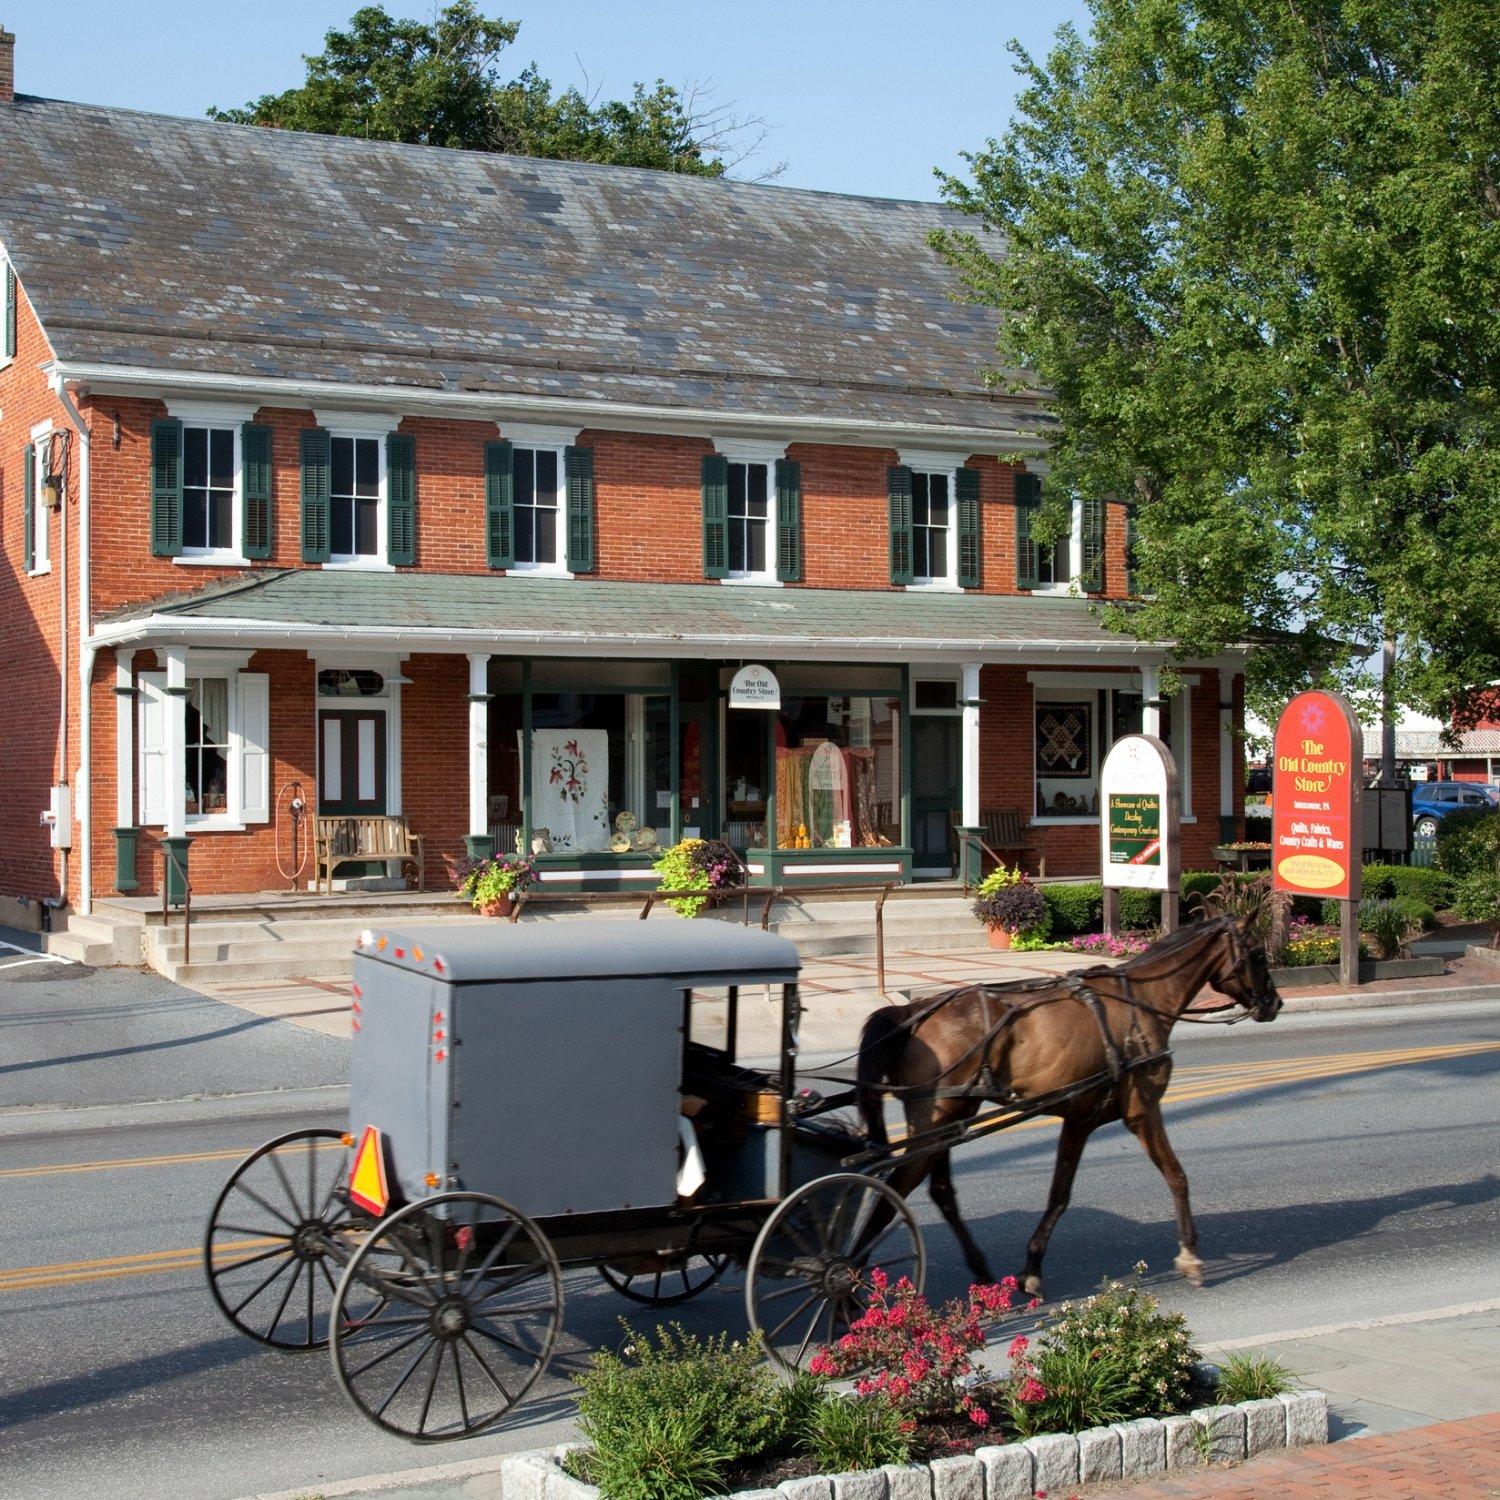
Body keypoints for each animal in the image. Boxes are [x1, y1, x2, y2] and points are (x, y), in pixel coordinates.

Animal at [852, 912, 1284, 1302]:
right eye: (1257, 954)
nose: (1274, 1003)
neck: (1143, 1001)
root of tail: (909, 1014)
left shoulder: (1079, 1120)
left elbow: (1059, 1195)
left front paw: (1031, 1269)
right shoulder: (1143, 1110)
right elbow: (1177, 1177)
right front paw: (1190, 1254)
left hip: (952, 1117)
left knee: (939, 1191)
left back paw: (978, 1271)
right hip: (936, 1120)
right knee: (892, 1193)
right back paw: (849, 1274)